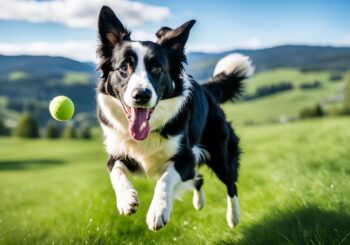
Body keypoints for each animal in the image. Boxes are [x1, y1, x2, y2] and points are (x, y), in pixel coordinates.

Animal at [97, 5, 253, 232]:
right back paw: (199, 202)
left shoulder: (185, 156)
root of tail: (207, 90)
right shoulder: (116, 153)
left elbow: (166, 177)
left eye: (157, 68)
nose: (141, 95)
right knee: (199, 178)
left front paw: (158, 211)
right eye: (124, 68)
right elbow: (115, 172)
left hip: (221, 153)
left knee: (230, 184)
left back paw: (233, 217)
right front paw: (126, 199)